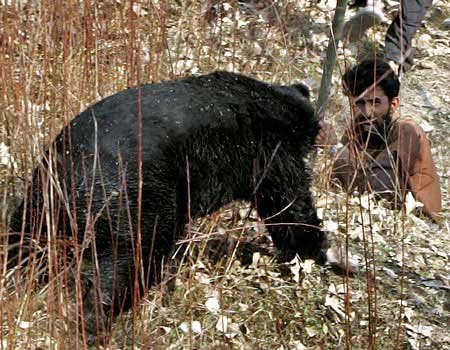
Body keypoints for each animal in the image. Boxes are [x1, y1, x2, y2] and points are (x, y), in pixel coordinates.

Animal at [8, 70, 328, 342]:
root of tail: (71, 185)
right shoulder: (266, 151)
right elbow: (289, 205)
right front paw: (310, 255)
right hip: (136, 204)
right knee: (128, 265)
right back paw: (95, 323)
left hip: (40, 207)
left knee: (23, 246)